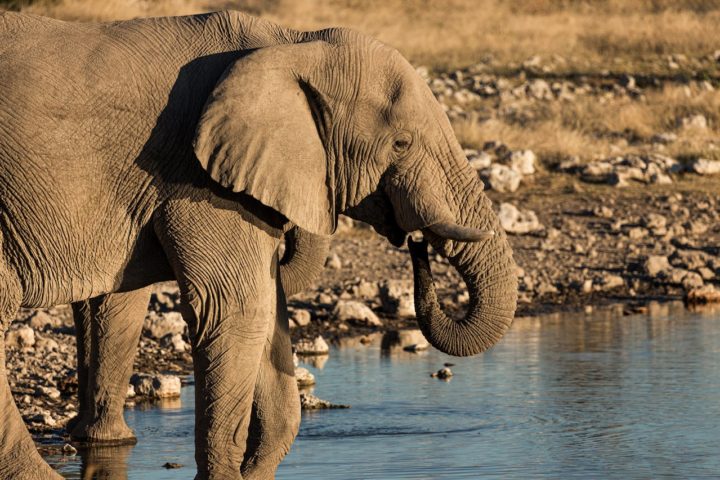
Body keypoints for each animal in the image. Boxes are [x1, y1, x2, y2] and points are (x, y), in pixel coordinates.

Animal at [0, 9, 518, 480]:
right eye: (401, 144)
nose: (415, 240)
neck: (291, 42)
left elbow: (267, 312)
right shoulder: (197, 180)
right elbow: (237, 308)